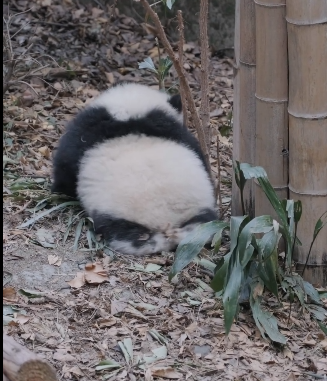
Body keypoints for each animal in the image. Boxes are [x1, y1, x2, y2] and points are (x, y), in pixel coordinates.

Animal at [52, 81, 218, 254]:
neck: (130, 114)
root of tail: (167, 225)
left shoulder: (85, 132)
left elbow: (66, 165)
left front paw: (59, 190)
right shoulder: (179, 133)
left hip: (118, 217)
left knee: (125, 236)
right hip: (201, 217)